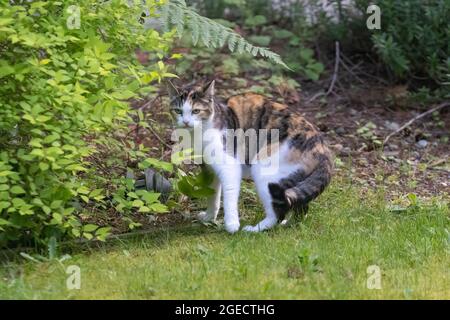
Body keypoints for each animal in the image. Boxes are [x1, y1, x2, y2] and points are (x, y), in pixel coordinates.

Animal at [167, 80, 332, 232]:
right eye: (178, 111)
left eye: (196, 111)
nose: (186, 122)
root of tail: (322, 148)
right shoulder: (209, 169)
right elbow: (212, 196)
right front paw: (208, 218)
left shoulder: (229, 166)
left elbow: (229, 194)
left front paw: (232, 225)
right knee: (299, 204)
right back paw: (288, 224)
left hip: (264, 169)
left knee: (278, 211)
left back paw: (255, 229)